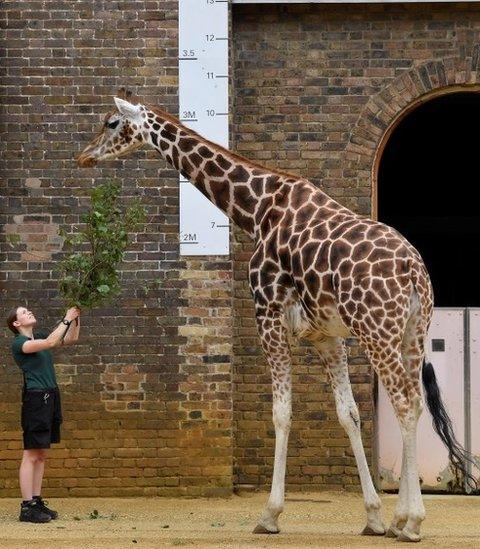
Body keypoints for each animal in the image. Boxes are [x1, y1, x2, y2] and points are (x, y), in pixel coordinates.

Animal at [77, 90, 474, 540]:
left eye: (110, 123)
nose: (84, 156)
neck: (255, 209)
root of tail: (412, 269)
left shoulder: (266, 315)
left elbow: (281, 414)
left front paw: (269, 514)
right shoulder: (326, 336)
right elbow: (349, 414)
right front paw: (373, 516)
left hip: (377, 331)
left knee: (405, 403)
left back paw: (412, 522)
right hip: (413, 332)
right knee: (415, 404)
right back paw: (400, 519)